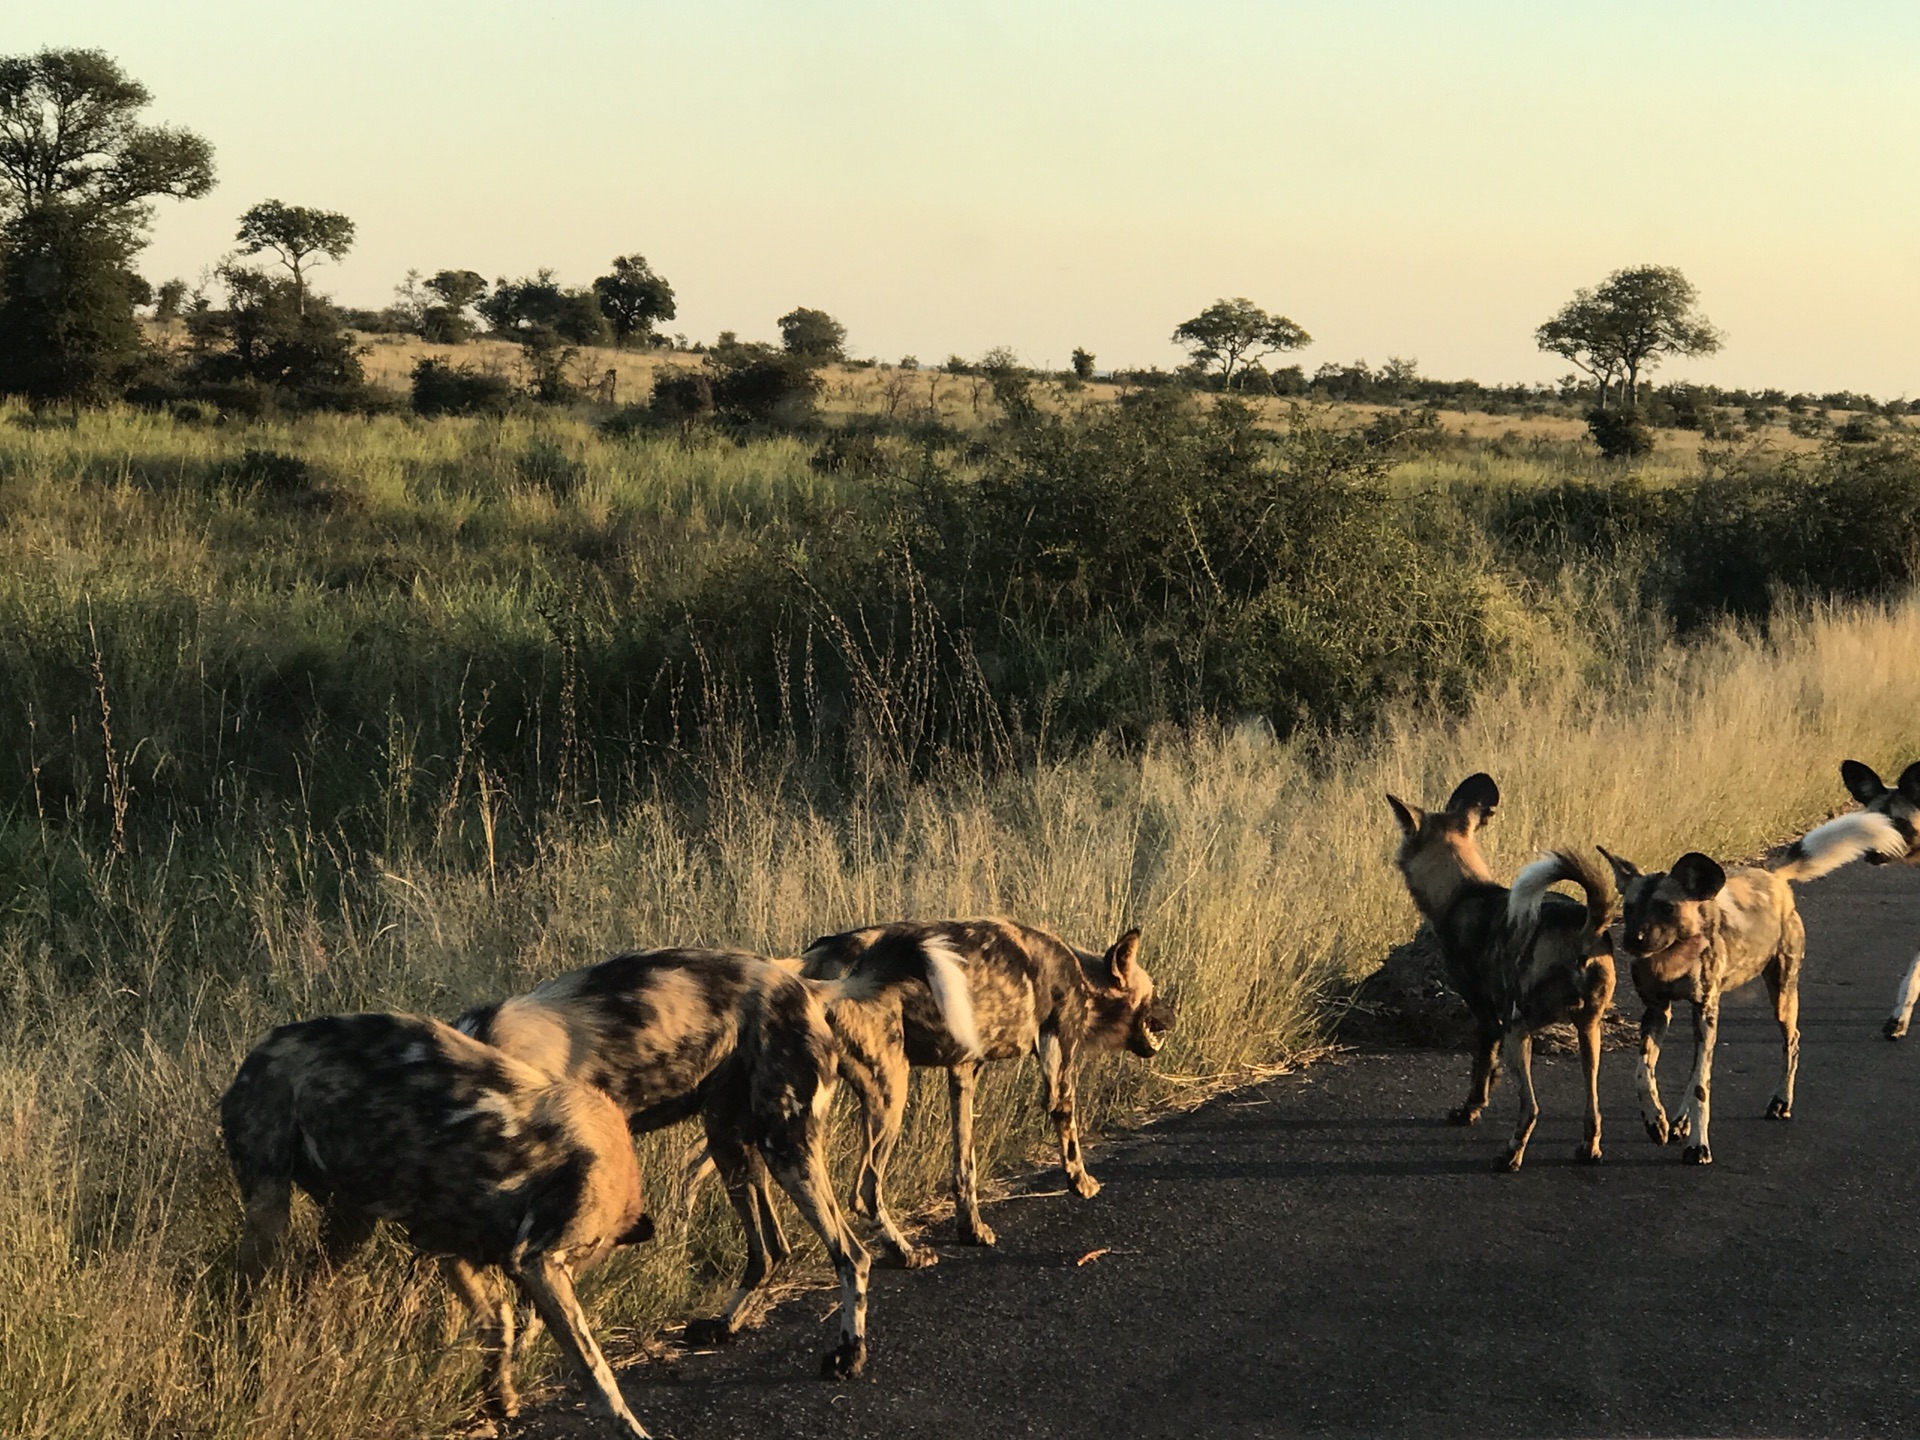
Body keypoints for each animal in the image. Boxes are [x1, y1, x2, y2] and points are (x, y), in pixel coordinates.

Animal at [453, 940, 975, 1382]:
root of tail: (804, 986)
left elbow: (540, 1311)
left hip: (785, 1148)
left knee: (850, 1254)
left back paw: (849, 1352)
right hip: (730, 1143)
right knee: (770, 1251)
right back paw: (726, 1325)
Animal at [1390, 779, 1612, 1175]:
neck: (1463, 890)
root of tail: (1584, 927)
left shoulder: (1486, 1017)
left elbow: (1479, 1068)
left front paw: (1468, 1111)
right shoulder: (1495, 1021)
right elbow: (1487, 1070)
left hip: (1518, 1028)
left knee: (1532, 1107)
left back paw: (1511, 1156)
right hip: (1589, 1032)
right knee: (1593, 1103)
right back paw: (1589, 1150)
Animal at [1605, 814, 1904, 1175]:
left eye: (1666, 908)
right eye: (1629, 908)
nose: (1632, 940)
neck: (1673, 958)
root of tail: (1774, 877)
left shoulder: (1704, 1011)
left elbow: (1702, 1085)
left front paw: (1698, 1146)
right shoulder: (1657, 1011)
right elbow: (1643, 1073)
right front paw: (1656, 1121)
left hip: (1781, 998)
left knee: (1791, 1042)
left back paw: (1780, 1102)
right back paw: (1678, 1122)